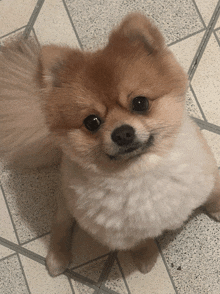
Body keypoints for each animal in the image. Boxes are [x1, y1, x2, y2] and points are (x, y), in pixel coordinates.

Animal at [0, 12, 220, 276]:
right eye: (92, 122)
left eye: (140, 102)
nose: (122, 133)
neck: (141, 172)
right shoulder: (123, 233)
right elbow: (140, 241)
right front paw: (145, 257)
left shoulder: (206, 175)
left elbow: (214, 193)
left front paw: (218, 208)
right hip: (68, 196)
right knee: (61, 220)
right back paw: (57, 257)